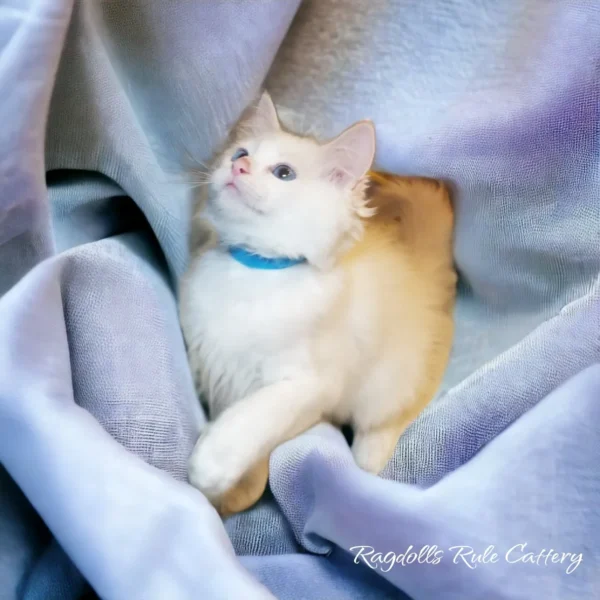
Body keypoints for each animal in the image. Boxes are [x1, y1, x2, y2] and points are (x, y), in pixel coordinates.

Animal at [178, 90, 454, 516]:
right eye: (241, 152)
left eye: (283, 173)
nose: (239, 166)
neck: (255, 271)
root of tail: (420, 265)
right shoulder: (217, 369)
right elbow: (247, 441)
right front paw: (234, 496)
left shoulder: (308, 384)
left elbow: (250, 420)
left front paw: (211, 468)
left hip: (388, 385)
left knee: (389, 420)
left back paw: (367, 461)